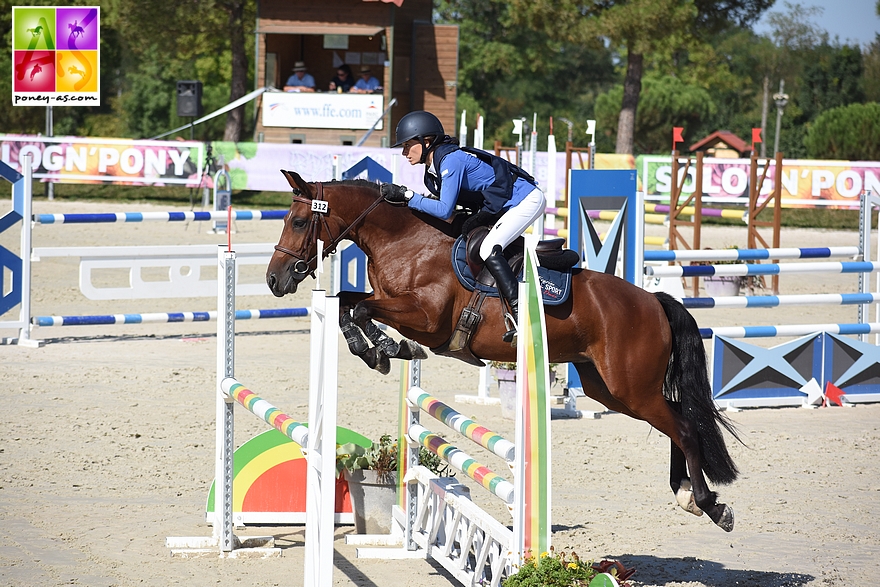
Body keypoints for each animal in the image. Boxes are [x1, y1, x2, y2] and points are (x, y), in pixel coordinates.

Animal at [266, 171, 744, 532]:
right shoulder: (396, 307)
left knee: (685, 428)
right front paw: (379, 351)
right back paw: (687, 494)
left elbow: (363, 308)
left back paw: (710, 504)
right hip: (609, 389)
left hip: (632, 388)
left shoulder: (427, 318)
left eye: (298, 222)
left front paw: (385, 348)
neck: (405, 241)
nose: (274, 280)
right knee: (675, 424)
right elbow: (347, 303)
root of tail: (654, 302)